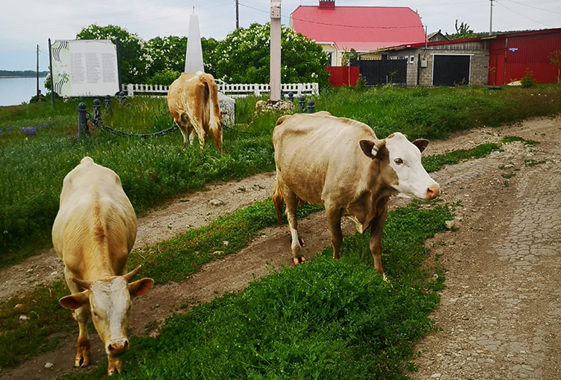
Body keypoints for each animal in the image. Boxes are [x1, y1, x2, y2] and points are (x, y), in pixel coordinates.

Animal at [274, 112, 440, 280]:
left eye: (419, 157)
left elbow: (375, 245)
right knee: (292, 217)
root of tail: (288, 116)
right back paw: (296, 251)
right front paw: (336, 261)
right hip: (285, 183)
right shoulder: (331, 205)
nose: (434, 189)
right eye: (398, 160)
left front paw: (382, 276)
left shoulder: (382, 209)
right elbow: (336, 239)